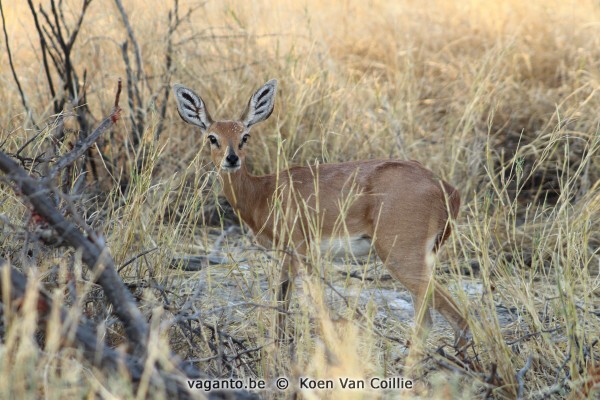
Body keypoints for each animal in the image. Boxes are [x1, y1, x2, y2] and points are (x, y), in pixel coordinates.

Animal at [172, 79, 468, 346]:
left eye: (245, 135)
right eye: (212, 137)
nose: (231, 159)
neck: (263, 192)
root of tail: (448, 190)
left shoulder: (300, 251)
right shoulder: (287, 255)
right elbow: (282, 303)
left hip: (401, 258)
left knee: (450, 321)